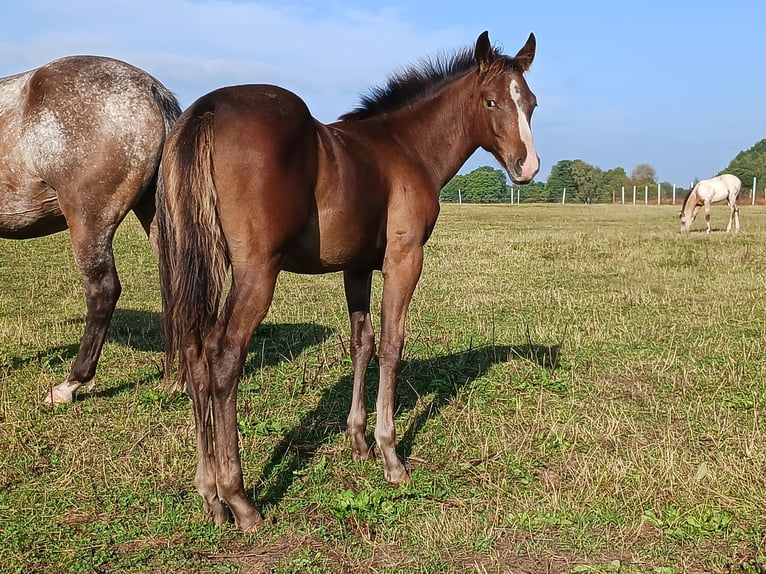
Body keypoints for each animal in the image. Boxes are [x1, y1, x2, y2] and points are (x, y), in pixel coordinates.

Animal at [156, 31, 540, 532]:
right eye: (491, 101)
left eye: (531, 103)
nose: (527, 167)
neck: (406, 148)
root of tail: (208, 107)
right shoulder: (404, 259)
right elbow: (393, 344)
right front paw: (391, 456)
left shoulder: (355, 267)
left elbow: (363, 343)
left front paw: (358, 442)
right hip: (256, 271)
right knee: (224, 357)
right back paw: (239, 499)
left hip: (201, 263)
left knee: (195, 351)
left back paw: (210, 496)